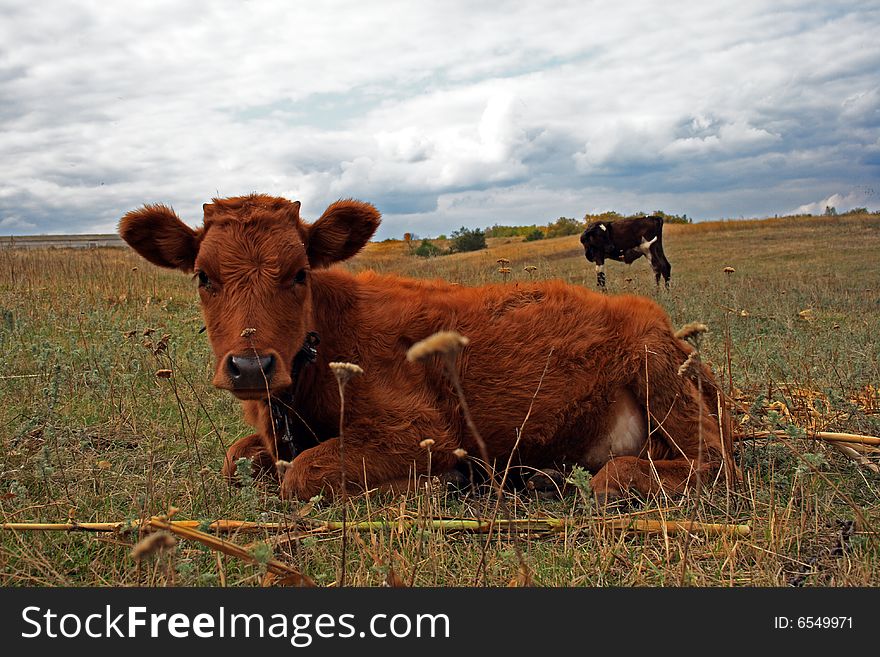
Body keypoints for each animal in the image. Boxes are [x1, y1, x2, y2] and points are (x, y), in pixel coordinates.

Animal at [118, 195, 736, 502]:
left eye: (299, 273)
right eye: (203, 276)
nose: (251, 365)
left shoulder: (421, 429)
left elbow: (301, 476)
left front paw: (437, 483)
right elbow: (237, 459)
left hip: (658, 378)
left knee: (697, 466)